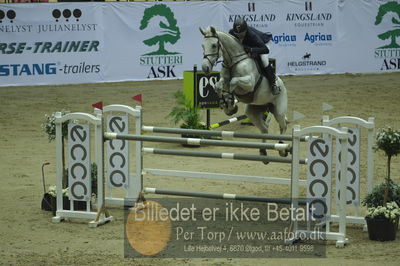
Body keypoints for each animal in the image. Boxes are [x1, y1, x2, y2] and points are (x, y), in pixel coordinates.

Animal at [199, 26, 288, 161]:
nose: (205, 68)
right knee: (264, 128)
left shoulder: (249, 83)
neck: (233, 61)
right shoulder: (223, 80)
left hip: (278, 110)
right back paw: (263, 152)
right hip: (253, 112)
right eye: (203, 46)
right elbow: (218, 86)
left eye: (214, 45)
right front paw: (227, 106)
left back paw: (282, 149)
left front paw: (230, 103)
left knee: (283, 126)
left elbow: (233, 82)